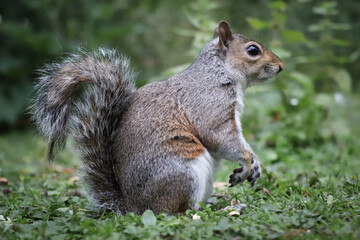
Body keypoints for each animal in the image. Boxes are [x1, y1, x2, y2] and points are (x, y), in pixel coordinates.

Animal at [30, 21, 284, 215]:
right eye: (253, 50)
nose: (281, 66)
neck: (218, 72)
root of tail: (133, 206)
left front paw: (255, 164)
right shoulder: (209, 105)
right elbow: (221, 137)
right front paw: (247, 161)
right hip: (183, 172)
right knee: (179, 212)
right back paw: (223, 209)